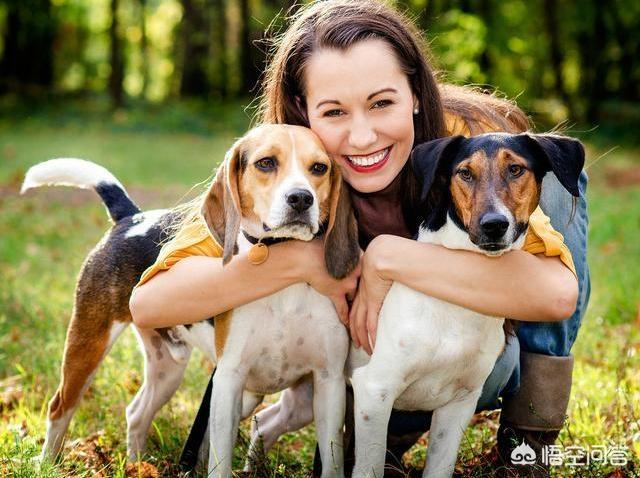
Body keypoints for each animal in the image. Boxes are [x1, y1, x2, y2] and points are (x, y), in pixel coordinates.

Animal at [21, 125, 360, 476]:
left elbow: (332, 462)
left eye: (319, 168)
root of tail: (133, 217)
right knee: (59, 408)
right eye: (266, 163)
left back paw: (137, 464)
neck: (285, 279)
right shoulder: (228, 380)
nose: (301, 198)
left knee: (136, 414)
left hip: (169, 369)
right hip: (87, 344)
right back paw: (47, 463)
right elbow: (219, 461)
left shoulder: (329, 382)